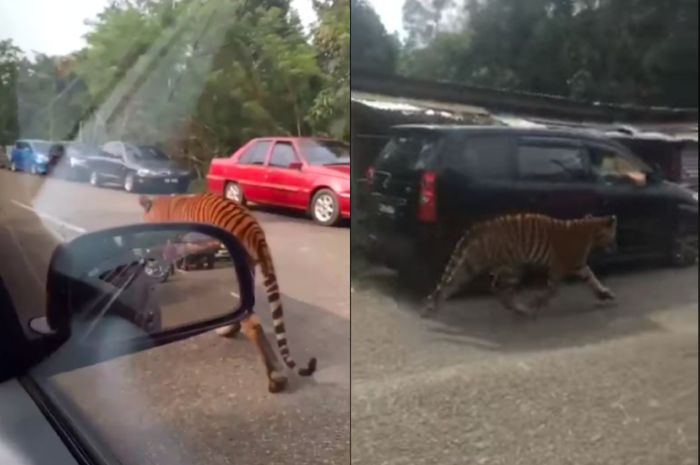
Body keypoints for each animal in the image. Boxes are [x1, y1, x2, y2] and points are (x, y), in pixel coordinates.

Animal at [422, 211, 616, 318]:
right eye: (614, 234)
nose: (615, 244)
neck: (591, 228)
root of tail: (482, 226)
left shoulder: (578, 266)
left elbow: (592, 278)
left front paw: (604, 293)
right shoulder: (562, 266)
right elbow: (553, 289)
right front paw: (538, 302)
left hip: (502, 265)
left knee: (494, 287)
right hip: (497, 266)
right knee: (455, 282)